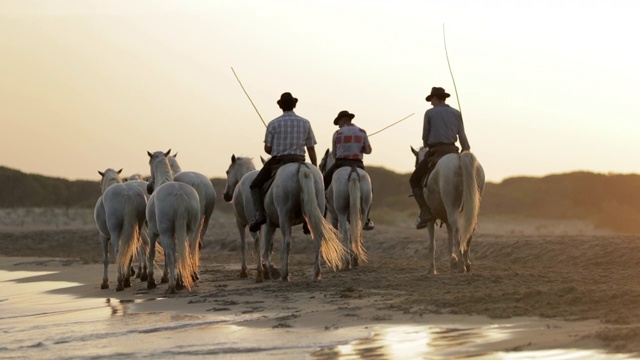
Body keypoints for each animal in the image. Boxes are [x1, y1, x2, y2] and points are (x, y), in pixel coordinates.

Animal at [147, 149, 202, 292]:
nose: (148, 187)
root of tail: (179, 194)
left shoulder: (153, 233)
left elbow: (153, 253)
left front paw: (151, 281)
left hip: (166, 233)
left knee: (171, 255)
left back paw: (172, 286)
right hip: (189, 232)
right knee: (186, 252)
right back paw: (182, 280)